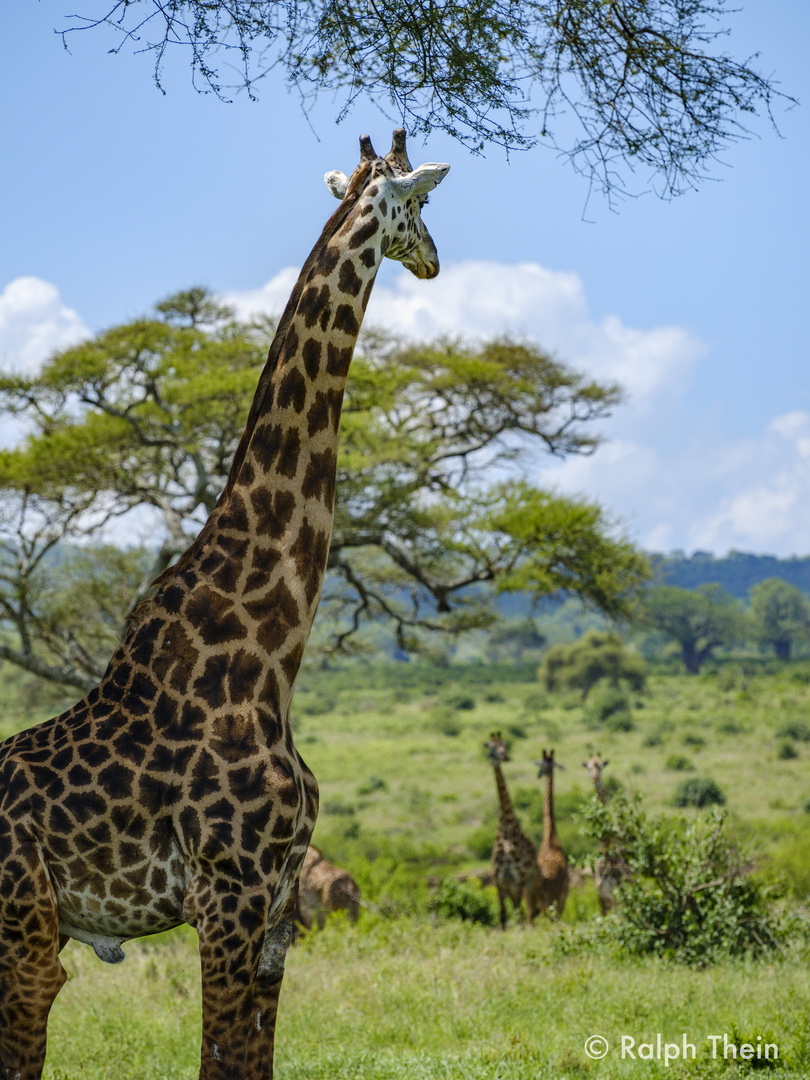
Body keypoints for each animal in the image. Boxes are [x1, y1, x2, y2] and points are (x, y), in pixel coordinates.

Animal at [0, 128, 451, 1080]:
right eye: (424, 203)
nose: (434, 260)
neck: (267, 655)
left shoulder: (277, 904)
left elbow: (250, 1060)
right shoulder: (226, 890)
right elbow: (217, 1056)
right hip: (26, 927)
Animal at [481, 734, 540, 928]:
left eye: (504, 746)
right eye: (491, 747)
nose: (505, 757)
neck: (507, 826)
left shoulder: (518, 876)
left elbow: (518, 914)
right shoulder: (499, 878)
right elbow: (503, 917)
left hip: (531, 882)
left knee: (530, 911)